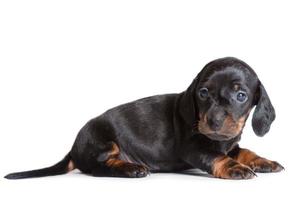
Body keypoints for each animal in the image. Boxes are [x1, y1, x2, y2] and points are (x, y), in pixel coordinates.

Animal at [4, 56, 284, 180]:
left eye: (240, 95)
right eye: (203, 93)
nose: (213, 122)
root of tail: (73, 149)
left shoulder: (229, 143)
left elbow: (243, 150)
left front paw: (263, 161)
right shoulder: (192, 148)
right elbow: (217, 157)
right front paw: (236, 168)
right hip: (103, 141)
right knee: (98, 168)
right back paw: (131, 169)